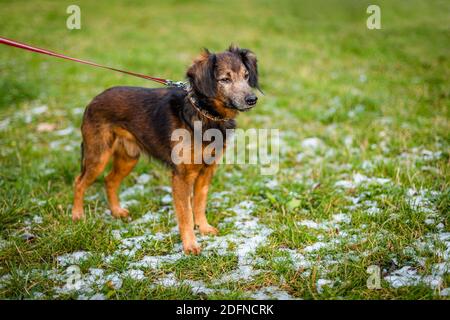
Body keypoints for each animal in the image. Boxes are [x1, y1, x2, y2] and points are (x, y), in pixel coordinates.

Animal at [71, 45, 260, 255]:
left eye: (246, 76)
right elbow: (186, 214)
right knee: (78, 182)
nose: (252, 99)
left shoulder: (207, 171)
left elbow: (199, 204)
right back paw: (77, 215)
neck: (204, 114)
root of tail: (93, 100)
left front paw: (203, 228)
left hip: (128, 158)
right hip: (98, 156)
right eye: (225, 79)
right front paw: (190, 245)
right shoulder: (182, 177)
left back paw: (117, 211)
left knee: (109, 180)